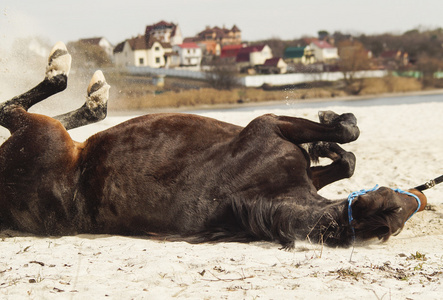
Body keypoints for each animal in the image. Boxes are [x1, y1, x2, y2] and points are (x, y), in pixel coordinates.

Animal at [0, 42, 430, 248]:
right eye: (397, 202)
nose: (420, 198)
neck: (263, 196)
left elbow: (347, 157)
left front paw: (327, 139)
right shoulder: (270, 126)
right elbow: (348, 145)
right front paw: (330, 131)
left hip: (46, 134)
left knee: (29, 112)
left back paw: (88, 94)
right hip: (44, 132)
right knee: (15, 107)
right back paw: (68, 73)